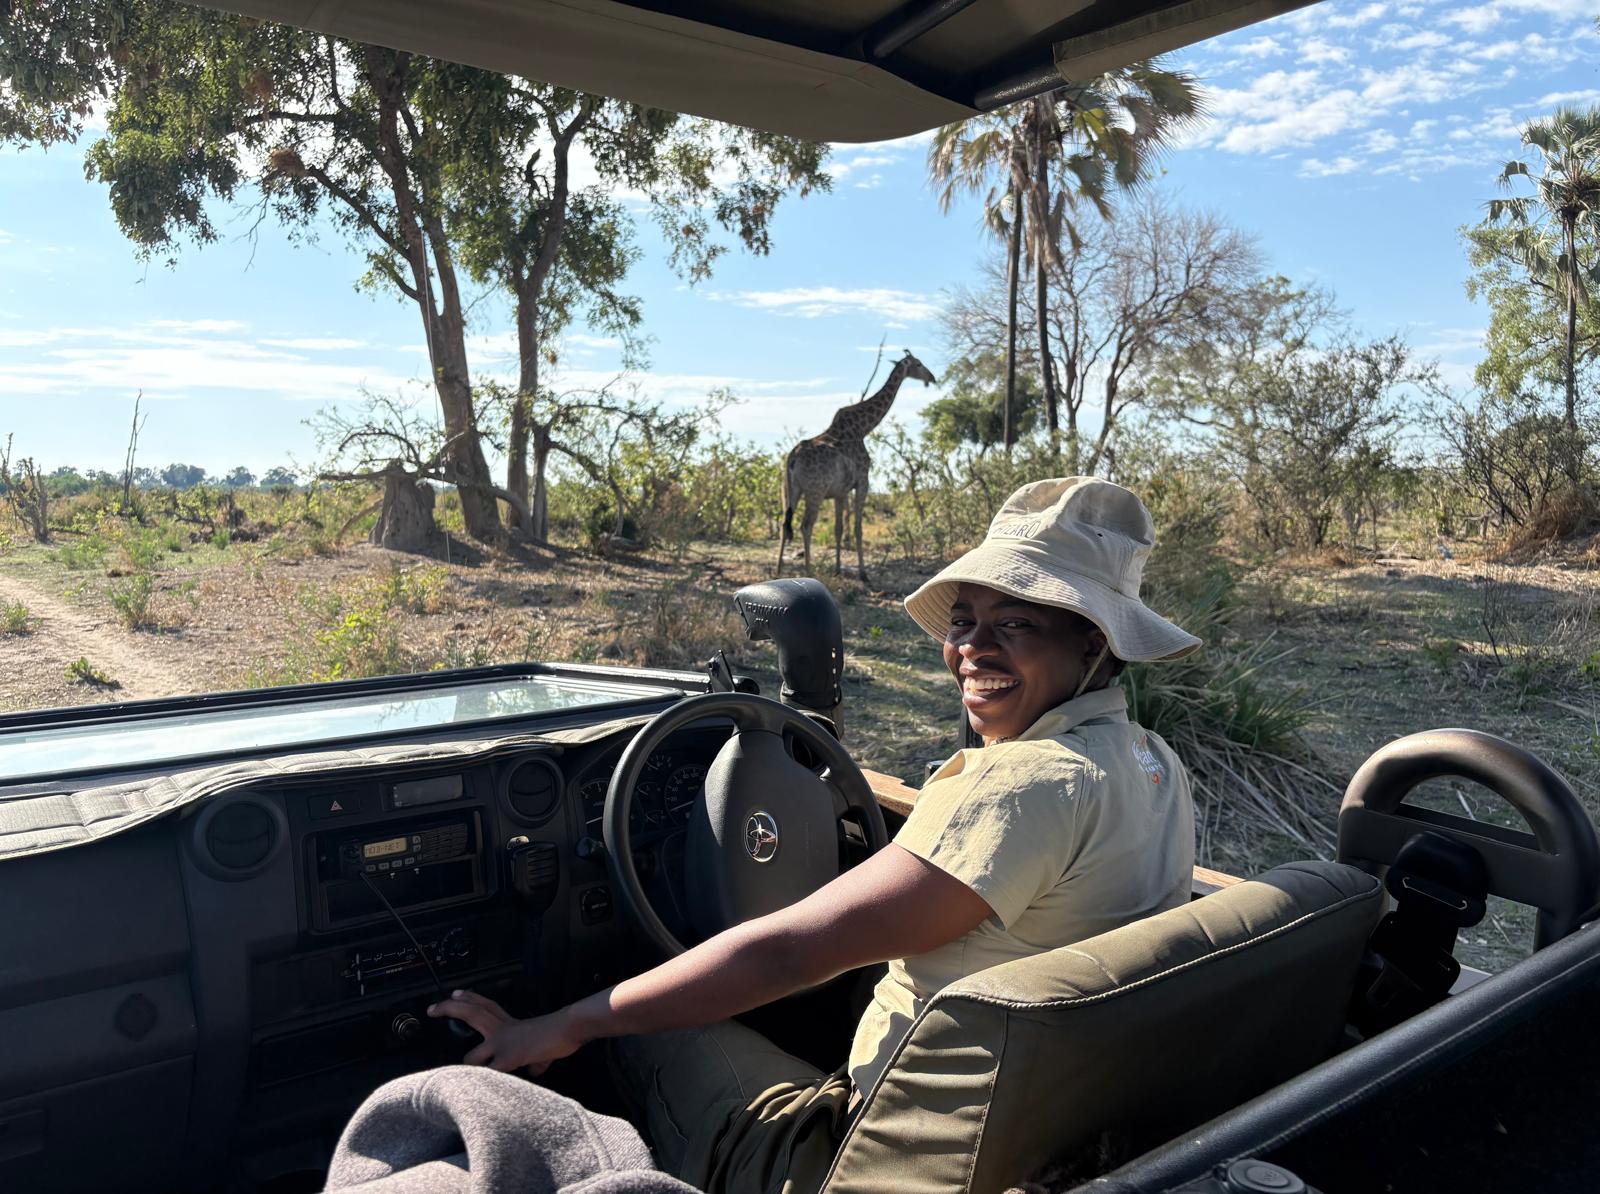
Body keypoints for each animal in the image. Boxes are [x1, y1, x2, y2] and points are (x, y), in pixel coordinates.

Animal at [777, 350, 938, 579]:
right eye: (918, 364)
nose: (932, 378)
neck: (863, 428)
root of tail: (793, 458)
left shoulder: (839, 491)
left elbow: (839, 528)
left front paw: (837, 569)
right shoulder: (863, 482)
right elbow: (857, 529)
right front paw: (863, 573)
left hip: (790, 490)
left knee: (784, 523)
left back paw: (779, 570)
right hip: (815, 491)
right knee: (806, 526)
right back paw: (809, 571)